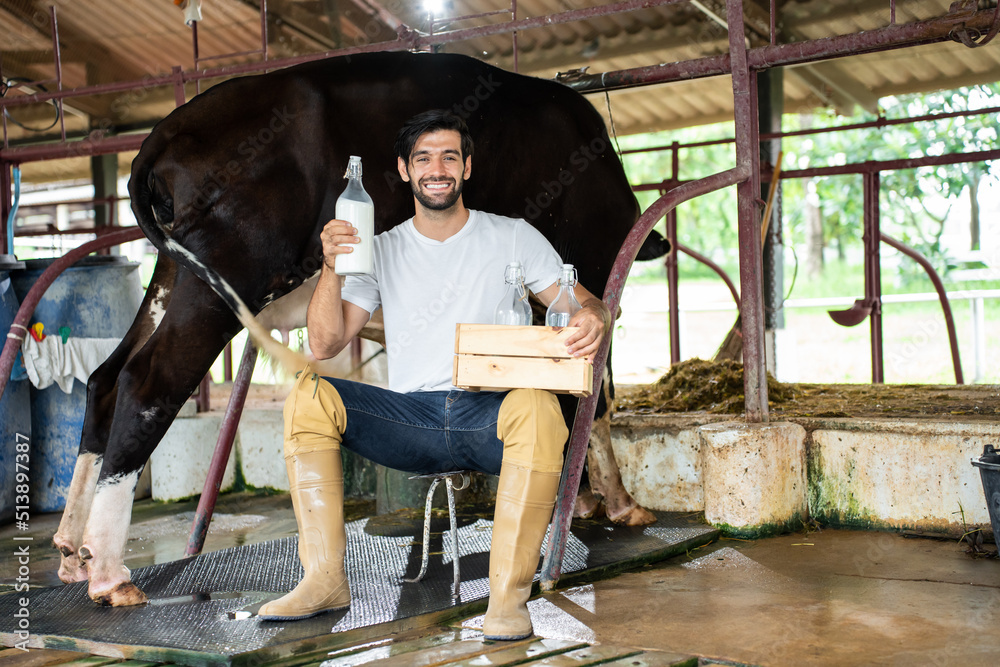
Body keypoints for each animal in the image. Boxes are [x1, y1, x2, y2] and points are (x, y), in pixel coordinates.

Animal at [54, 51, 660, 604]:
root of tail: (171, 126)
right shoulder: (579, 279)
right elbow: (592, 400)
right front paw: (613, 503)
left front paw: (589, 500)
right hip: (227, 271)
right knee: (148, 383)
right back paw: (109, 572)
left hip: (174, 273)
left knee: (105, 380)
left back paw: (72, 553)